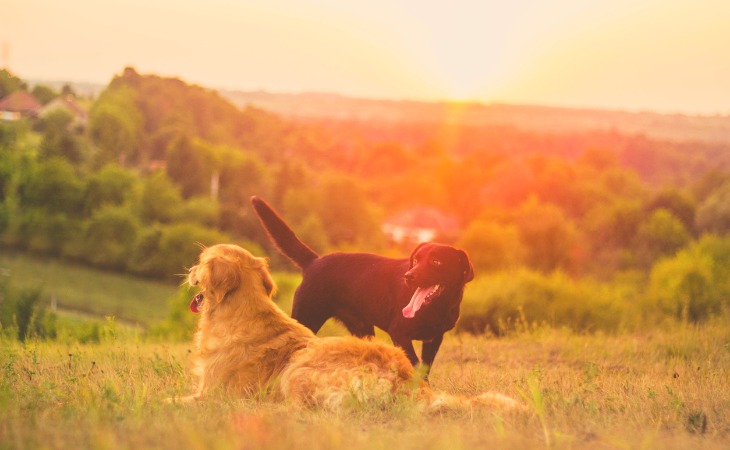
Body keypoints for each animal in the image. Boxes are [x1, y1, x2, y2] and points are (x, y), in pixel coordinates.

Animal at [250, 195, 474, 374]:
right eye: (416, 260)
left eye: (436, 261)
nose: (409, 276)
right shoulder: (399, 333)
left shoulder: (434, 339)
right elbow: (415, 364)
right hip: (307, 317)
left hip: (362, 329)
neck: (438, 307)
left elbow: (424, 368)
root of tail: (314, 261)